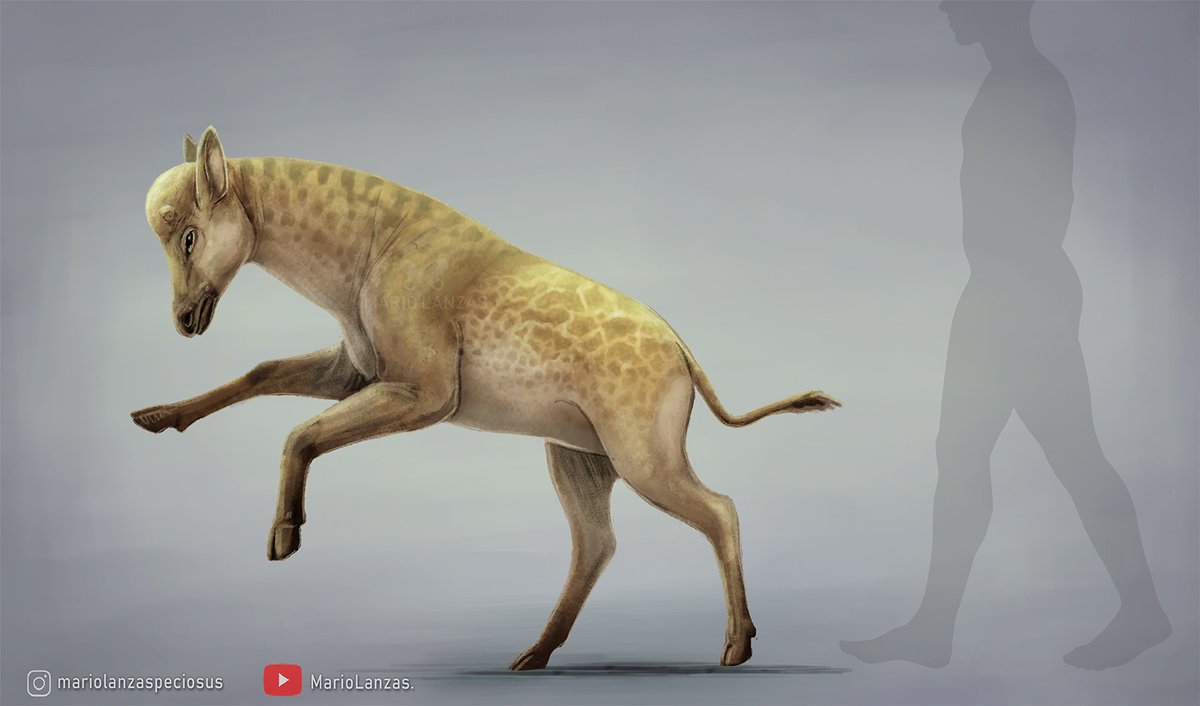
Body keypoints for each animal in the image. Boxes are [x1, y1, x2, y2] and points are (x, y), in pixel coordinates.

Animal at [131, 127, 841, 670]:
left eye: (188, 235)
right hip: (579, 458)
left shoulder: (425, 396)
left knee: (718, 512)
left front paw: (284, 538)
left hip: (645, 460)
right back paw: (532, 656)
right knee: (597, 544)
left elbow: (300, 432)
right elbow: (262, 373)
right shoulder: (356, 372)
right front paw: (153, 417)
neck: (371, 248)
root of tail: (682, 352)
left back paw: (735, 648)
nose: (185, 320)